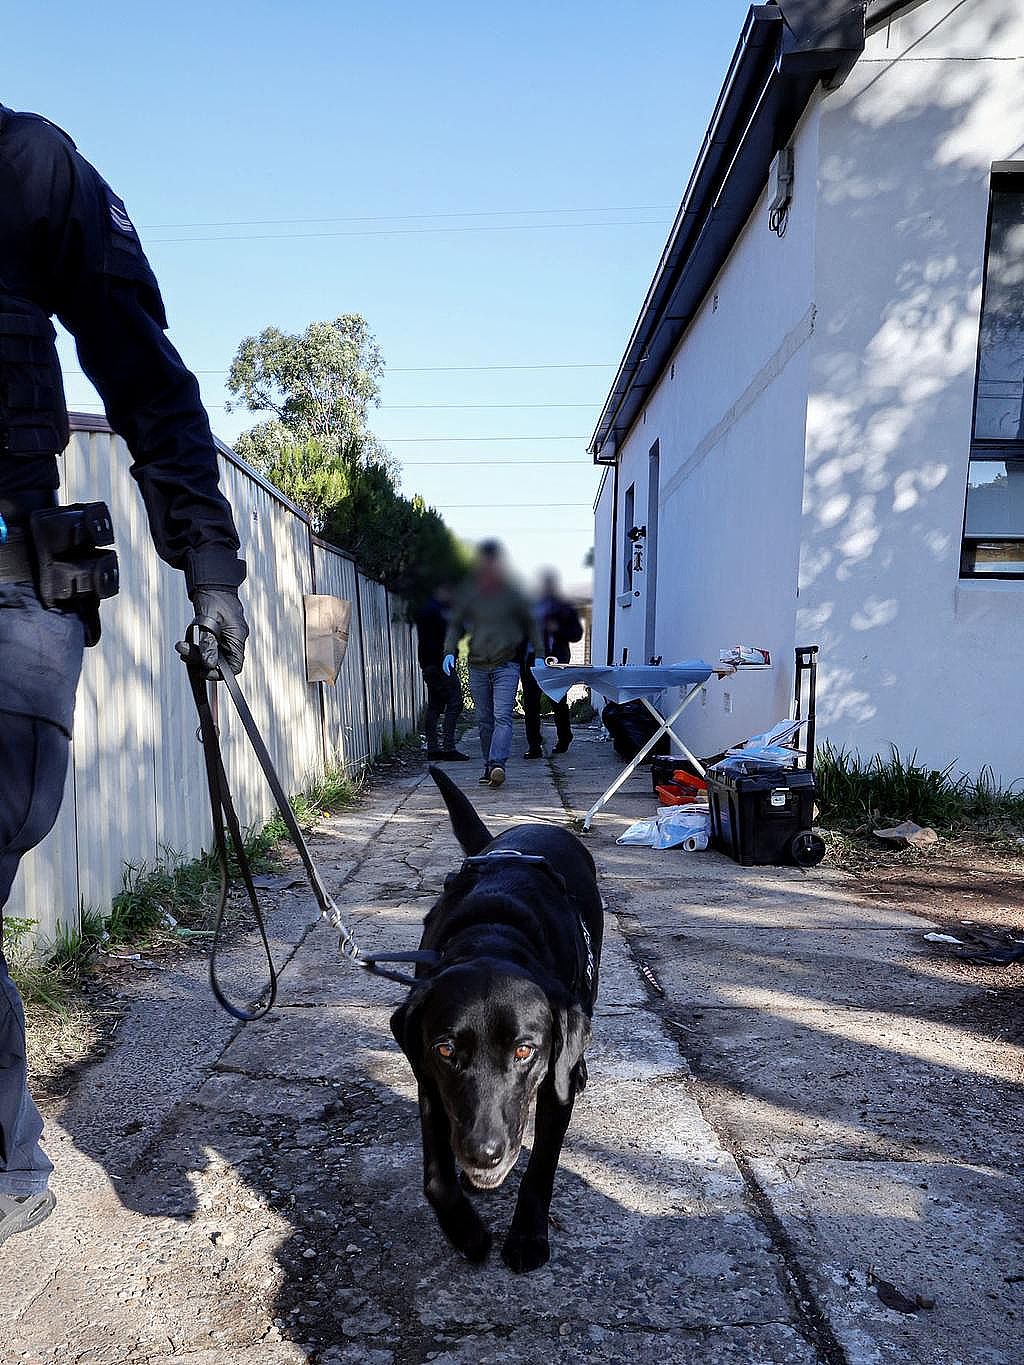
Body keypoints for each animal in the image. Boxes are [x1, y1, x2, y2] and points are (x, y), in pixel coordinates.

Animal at [390, 769, 600, 1266]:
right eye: (446, 1050)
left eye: (524, 1051)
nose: (483, 1153)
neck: (494, 933)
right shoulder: (430, 1080)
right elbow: (436, 1176)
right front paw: (465, 1230)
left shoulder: (553, 1093)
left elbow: (540, 1168)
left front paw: (527, 1236)